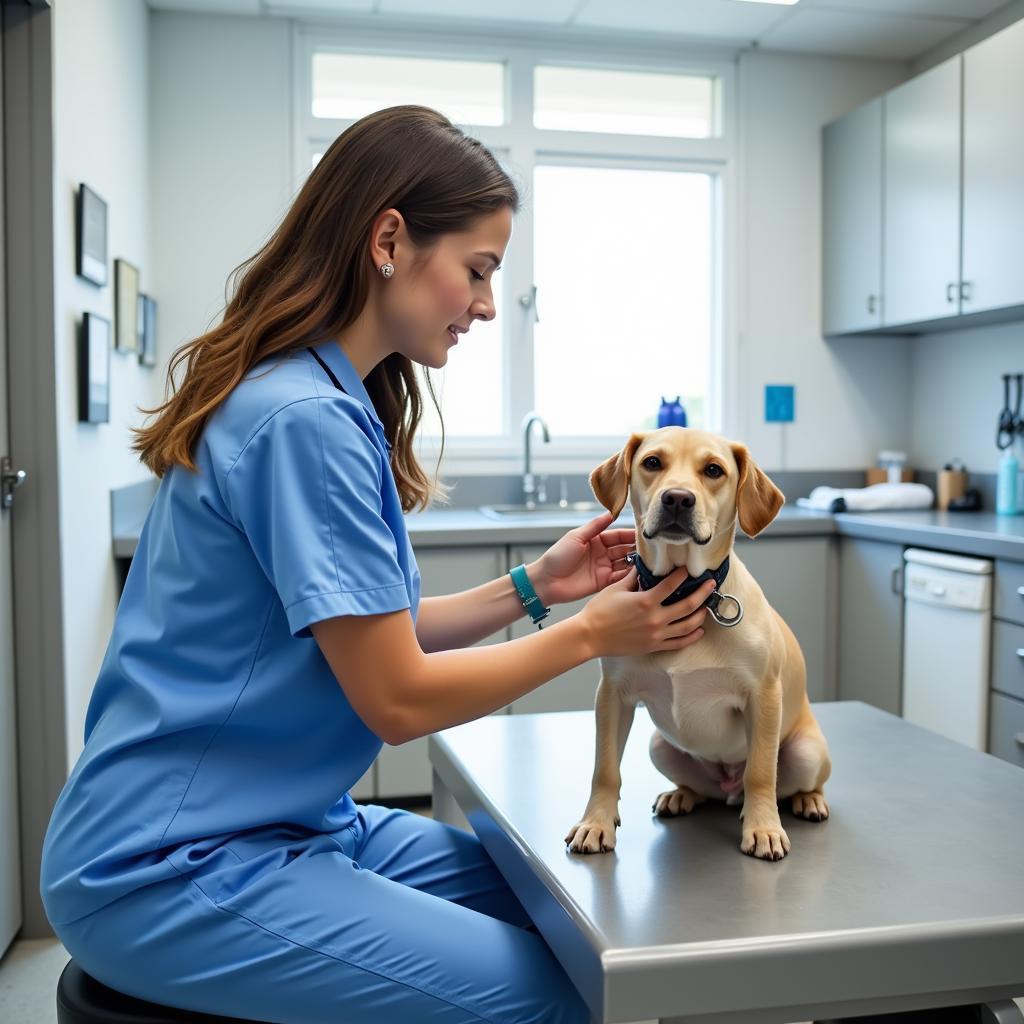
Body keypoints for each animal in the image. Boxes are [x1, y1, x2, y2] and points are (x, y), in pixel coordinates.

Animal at [569, 428, 831, 860]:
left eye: (713, 470)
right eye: (652, 462)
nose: (677, 498)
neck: (683, 592)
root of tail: (728, 786)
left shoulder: (763, 696)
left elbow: (761, 772)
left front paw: (764, 828)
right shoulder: (612, 696)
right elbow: (604, 769)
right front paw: (596, 823)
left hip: (807, 752)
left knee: (790, 782)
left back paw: (807, 799)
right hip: (659, 745)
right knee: (700, 788)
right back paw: (681, 795)